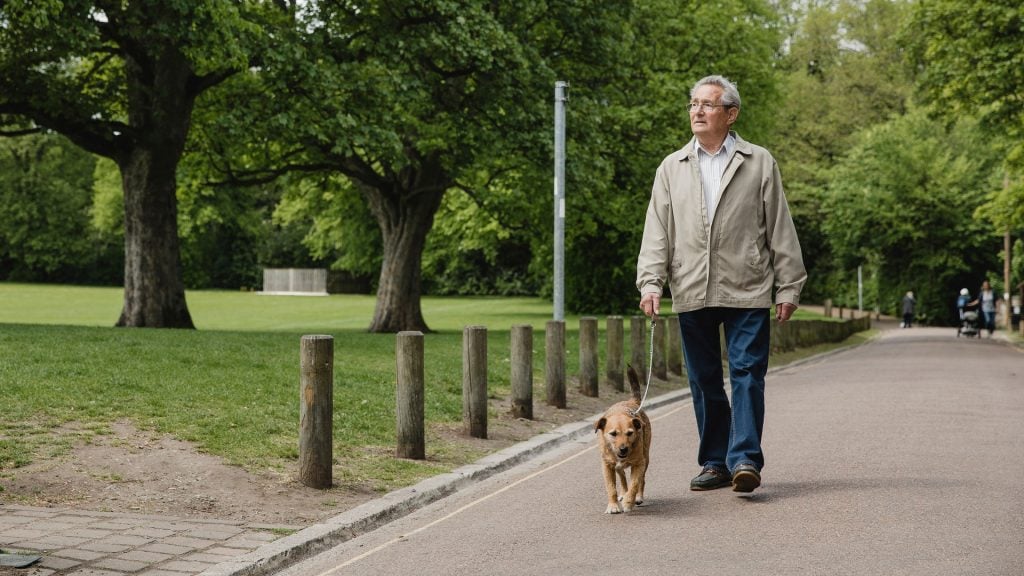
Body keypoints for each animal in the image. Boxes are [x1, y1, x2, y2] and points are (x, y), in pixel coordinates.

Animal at [598, 362, 651, 510]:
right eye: (613, 434)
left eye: (630, 433)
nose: (623, 449)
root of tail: (633, 401)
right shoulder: (607, 466)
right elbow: (611, 487)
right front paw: (613, 505)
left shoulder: (639, 464)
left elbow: (635, 484)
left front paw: (628, 501)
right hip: (617, 467)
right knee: (621, 476)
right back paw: (623, 493)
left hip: (646, 458)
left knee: (642, 480)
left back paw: (637, 497)